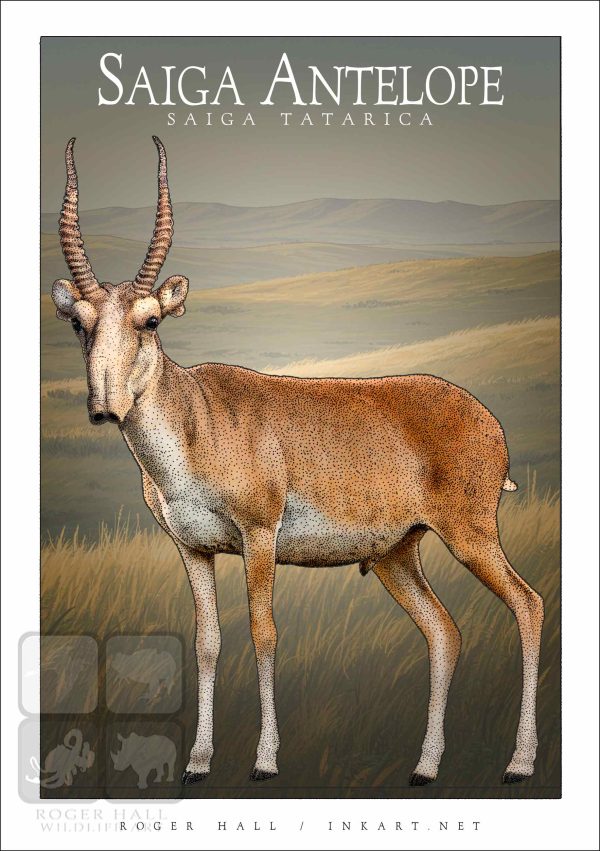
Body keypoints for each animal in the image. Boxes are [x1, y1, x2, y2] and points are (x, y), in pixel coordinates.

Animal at [51, 136, 544, 787]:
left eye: (150, 319)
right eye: (78, 323)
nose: (105, 406)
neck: (198, 419)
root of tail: (485, 417)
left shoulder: (259, 538)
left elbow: (264, 634)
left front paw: (264, 761)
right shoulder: (193, 549)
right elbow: (207, 641)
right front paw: (198, 764)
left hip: (471, 536)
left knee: (528, 606)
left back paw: (517, 765)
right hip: (397, 556)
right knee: (445, 631)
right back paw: (424, 769)